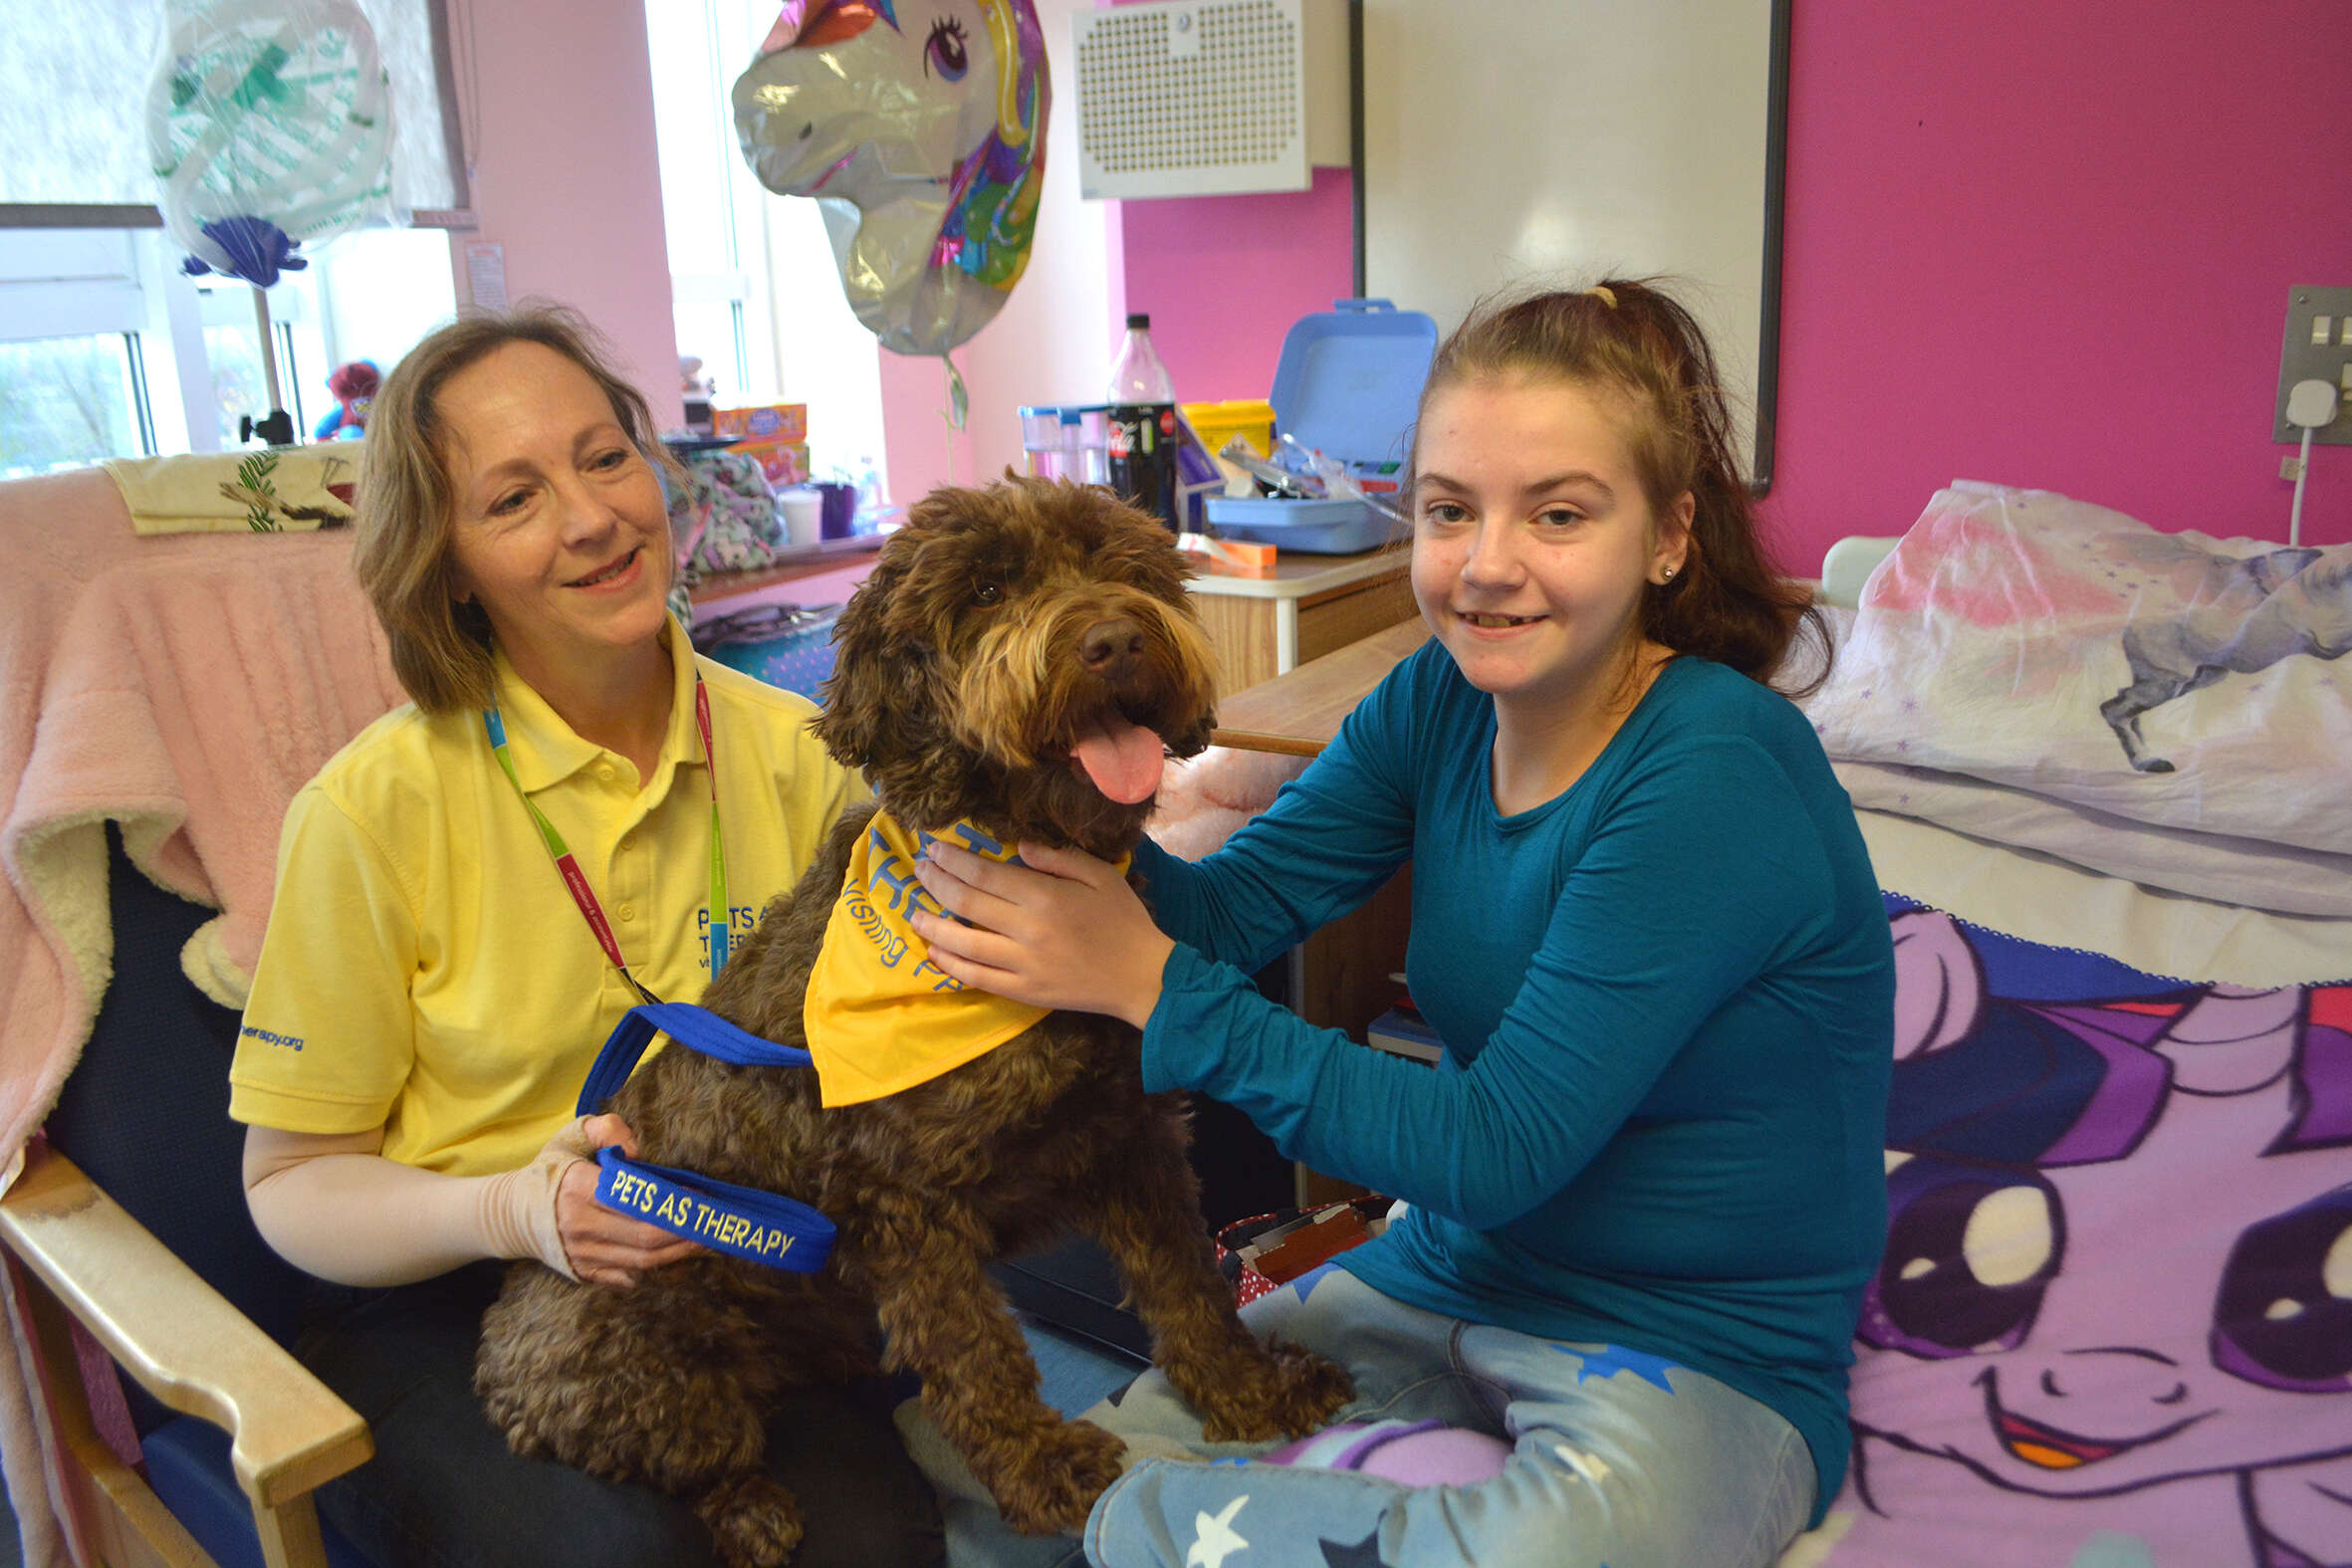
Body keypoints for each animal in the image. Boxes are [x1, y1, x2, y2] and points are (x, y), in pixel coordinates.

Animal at [475, 474, 1354, 1568]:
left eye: (1122, 564)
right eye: (983, 591)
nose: (1113, 639)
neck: (1011, 854)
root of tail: (495, 1359)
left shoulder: (1129, 1135)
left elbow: (1189, 1286)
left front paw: (1250, 1393)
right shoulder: (902, 1204)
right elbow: (977, 1356)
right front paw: (1044, 1470)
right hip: (652, 1369)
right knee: (699, 1458)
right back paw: (753, 1512)